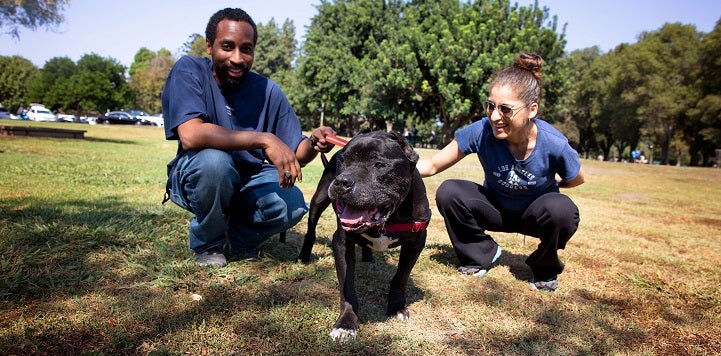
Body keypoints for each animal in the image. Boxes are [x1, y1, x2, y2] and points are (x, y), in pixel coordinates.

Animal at [296, 131, 428, 342]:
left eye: (379, 164)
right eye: (342, 161)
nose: (341, 182)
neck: (387, 220)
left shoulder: (416, 241)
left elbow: (401, 277)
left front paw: (397, 306)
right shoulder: (341, 242)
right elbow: (347, 286)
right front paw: (346, 324)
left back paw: (368, 257)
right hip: (318, 201)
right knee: (311, 231)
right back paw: (304, 256)